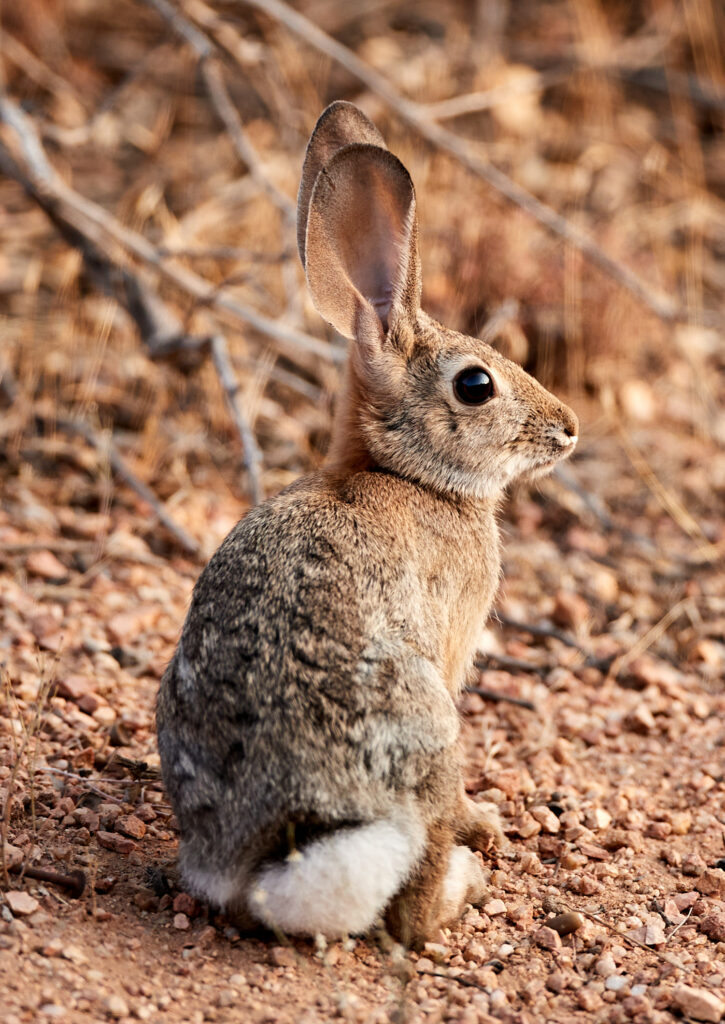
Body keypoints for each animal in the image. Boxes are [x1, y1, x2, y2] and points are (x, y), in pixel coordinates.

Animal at [156, 101, 578, 947]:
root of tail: (268, 861)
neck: (404, 473)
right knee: (412, 908)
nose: (567, 429)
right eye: (475, 385)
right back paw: (470, 874)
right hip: (427, 731)